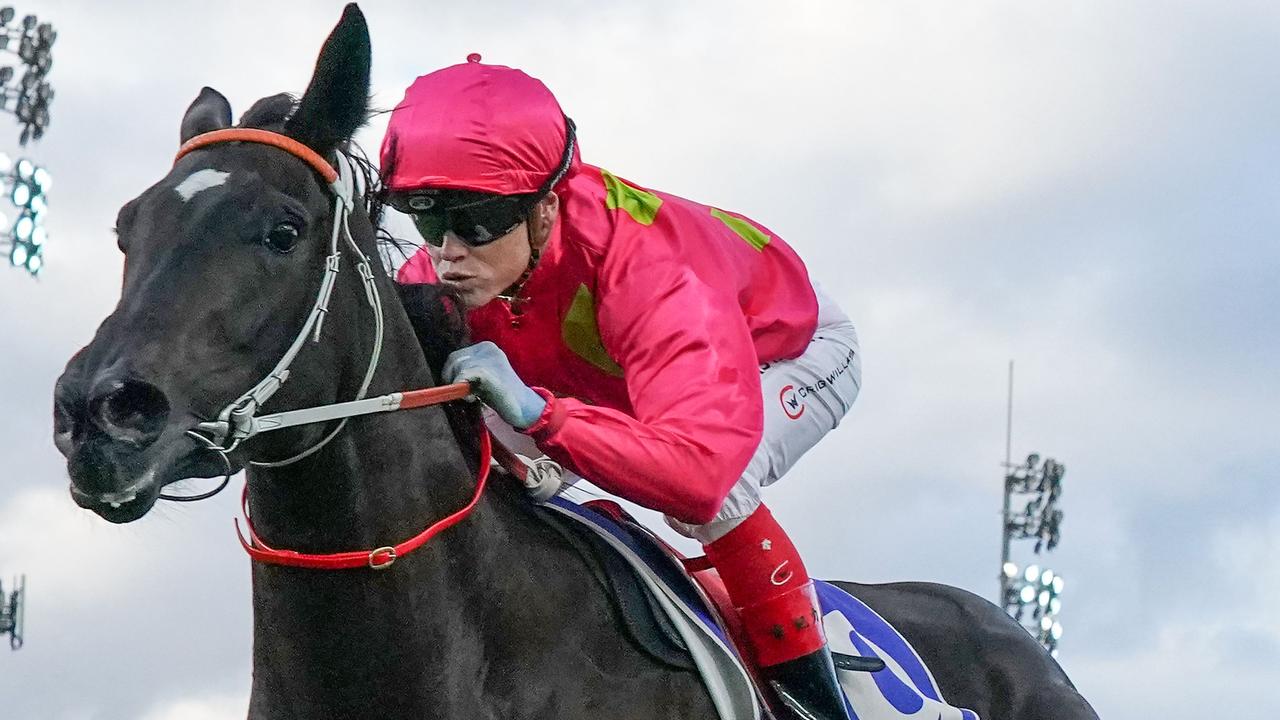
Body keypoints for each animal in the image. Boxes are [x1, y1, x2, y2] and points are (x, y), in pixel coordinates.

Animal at [52, 7, 1100, 717]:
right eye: (126, 228)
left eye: (282, 230)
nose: (101, 413)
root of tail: (1013, 634)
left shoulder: (663, 285)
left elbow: (704, 465)